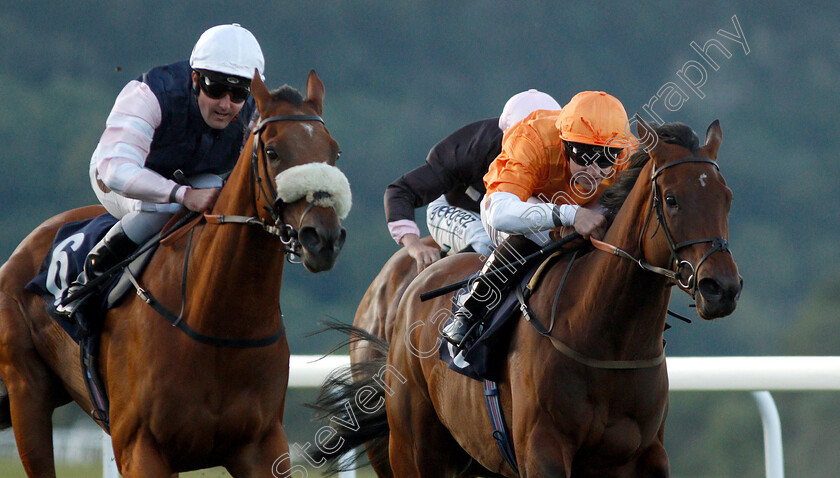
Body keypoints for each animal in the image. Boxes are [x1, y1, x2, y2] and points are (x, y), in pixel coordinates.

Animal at [0, 69, 350, 476]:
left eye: (334, 151)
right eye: (273, 152)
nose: (323, 237)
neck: (217, 326)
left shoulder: (262, 444)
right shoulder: (140, 448)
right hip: (27, 394)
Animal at [316, 117, 740, 476]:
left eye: (727, 197)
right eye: (671, 199)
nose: (721, 288)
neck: (607, 341)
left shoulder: (647, 454)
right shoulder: (542, 449)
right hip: (411, 449)